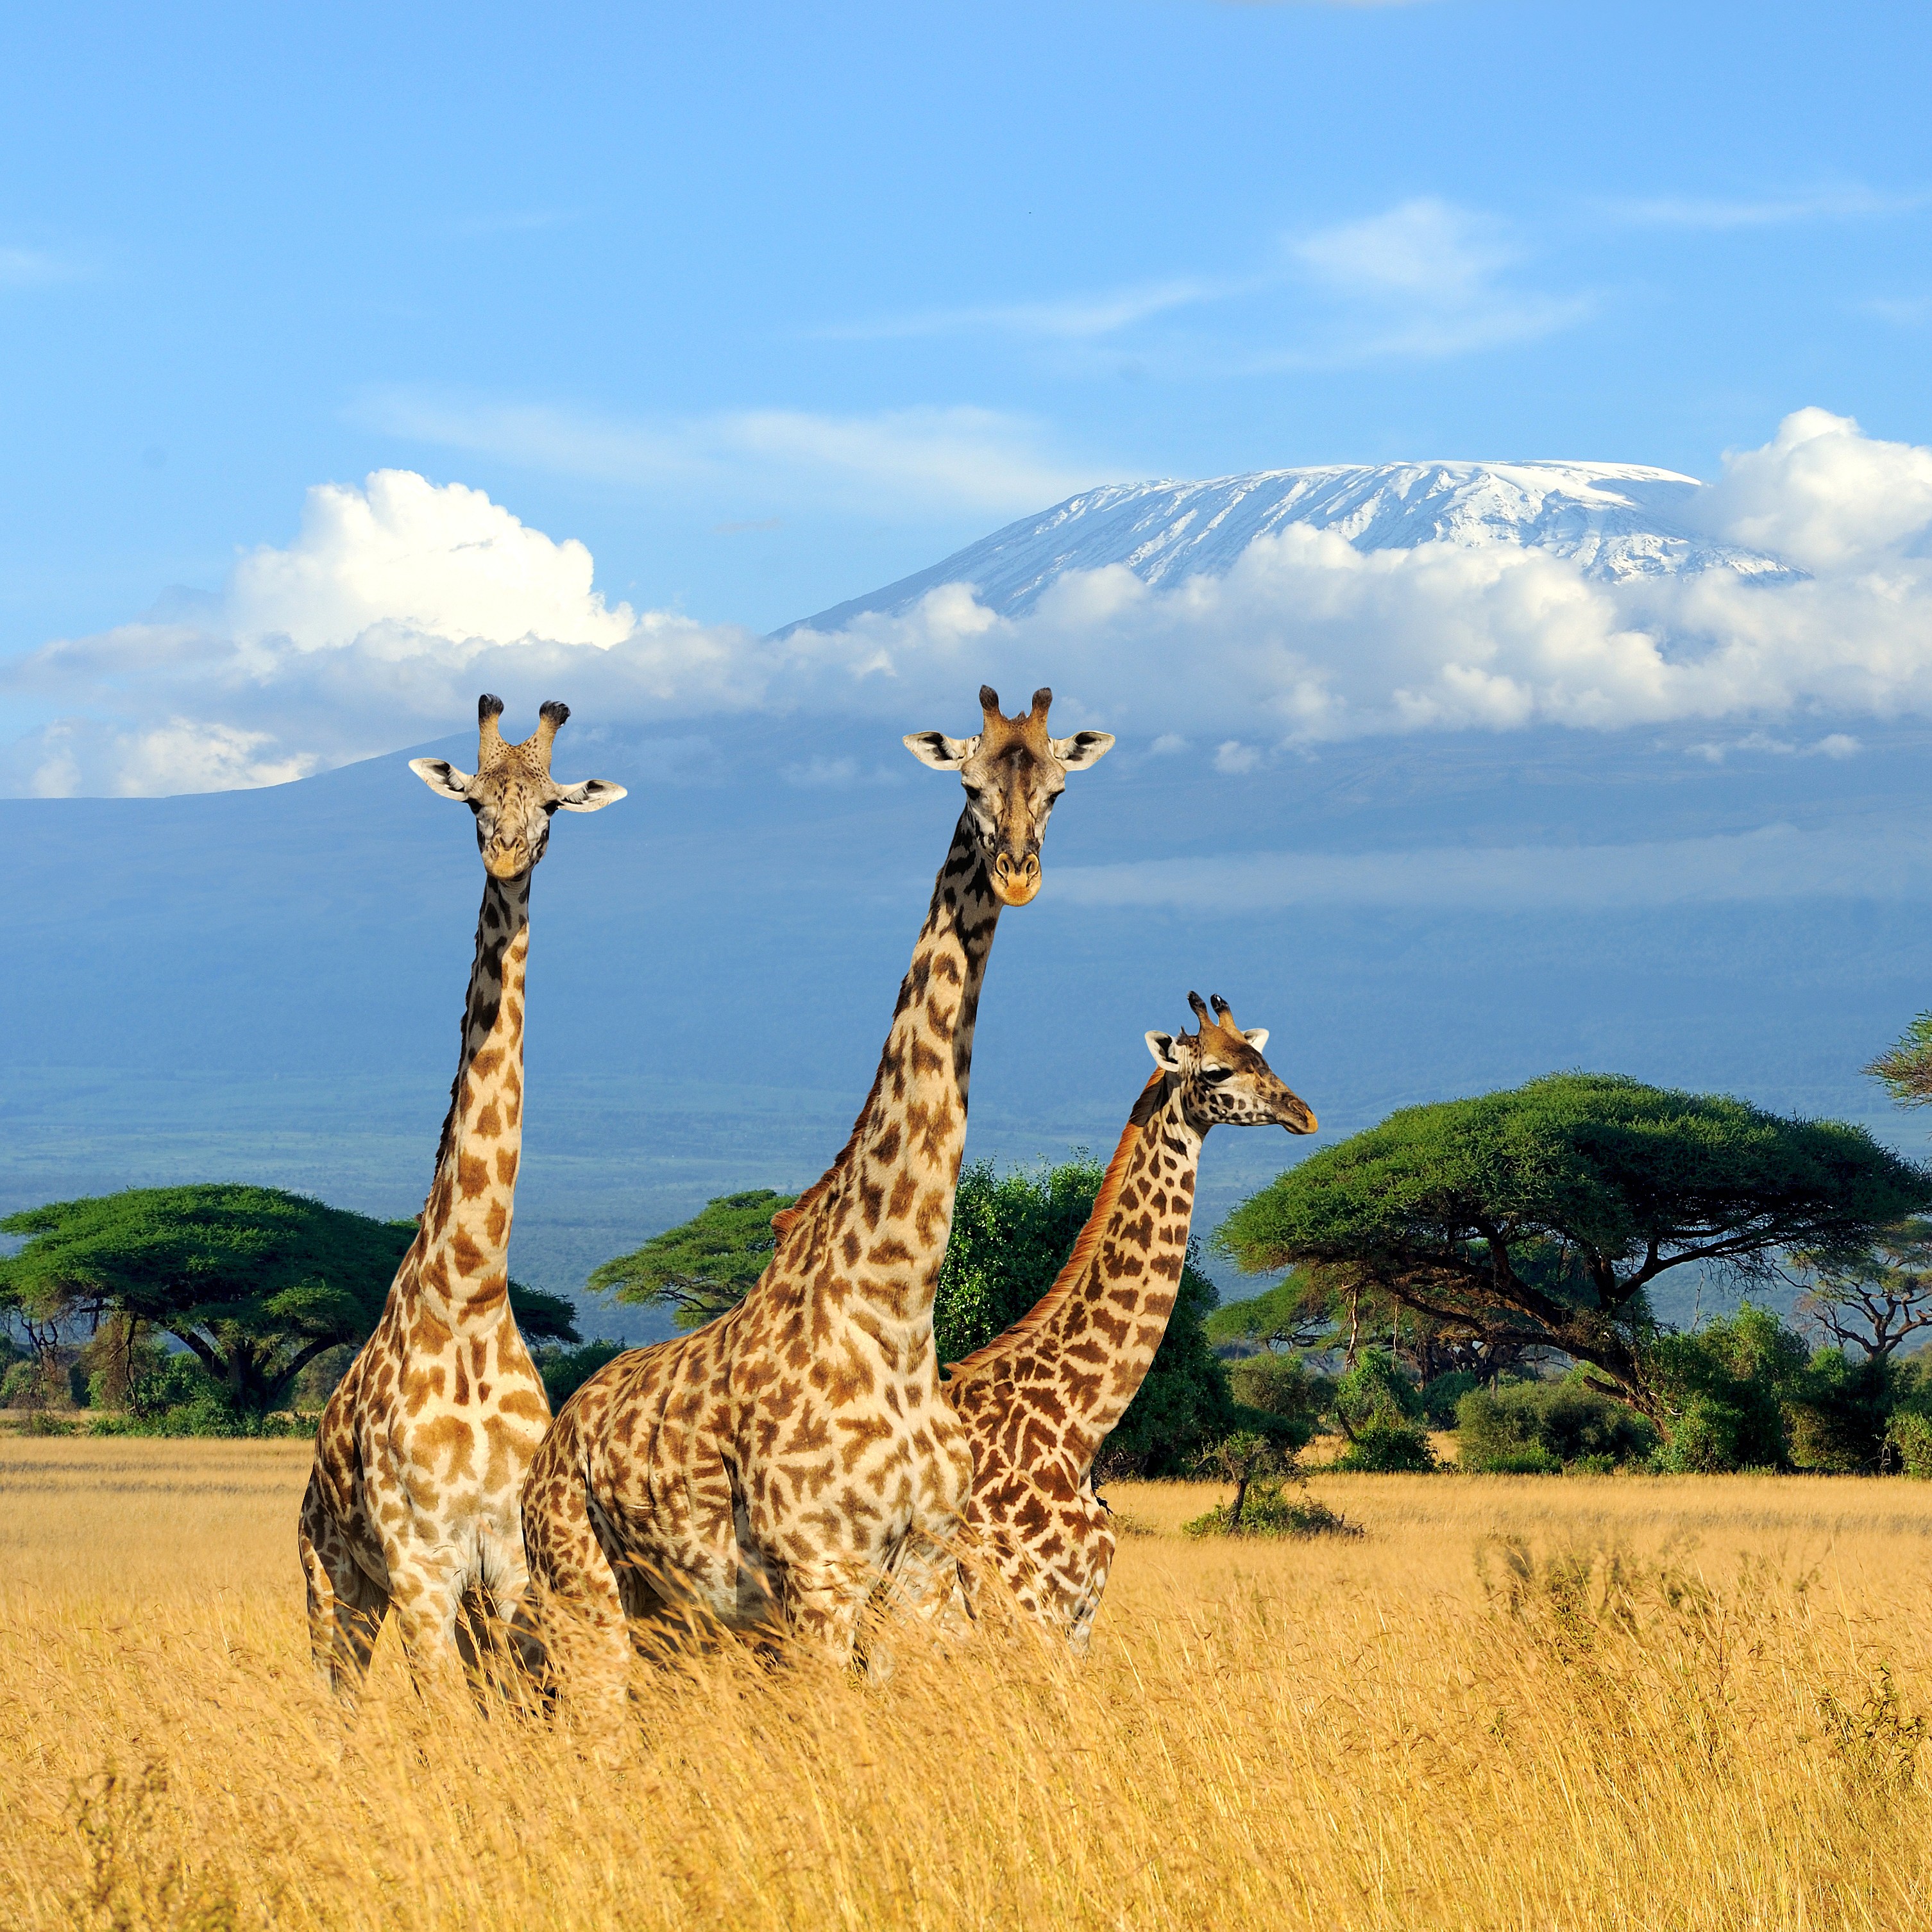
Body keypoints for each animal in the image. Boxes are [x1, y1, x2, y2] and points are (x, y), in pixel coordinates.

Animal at [298, 694, 624, 1702]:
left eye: (553, 805)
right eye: (474, 800)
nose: (508, 854)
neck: (472, 1291)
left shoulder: (509, 1562)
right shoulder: (421, 1562)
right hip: (333, 1579)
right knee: (338, 1696)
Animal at [520, 686, 1114, 1691]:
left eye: (1060, 790)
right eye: (968, 783)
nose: (1019, 873)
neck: (895, 1307)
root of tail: (553, 1441)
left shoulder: (920, 1572)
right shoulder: (820, 1575)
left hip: (675, 1619)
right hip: (583, 1591)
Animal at [942, 993, 1316, 1652]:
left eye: (1264, 1059)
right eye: (1216, 1071)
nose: (1305, 1115)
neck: (1075, 1430)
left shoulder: (1077, 1620)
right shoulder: (1023, 1614)